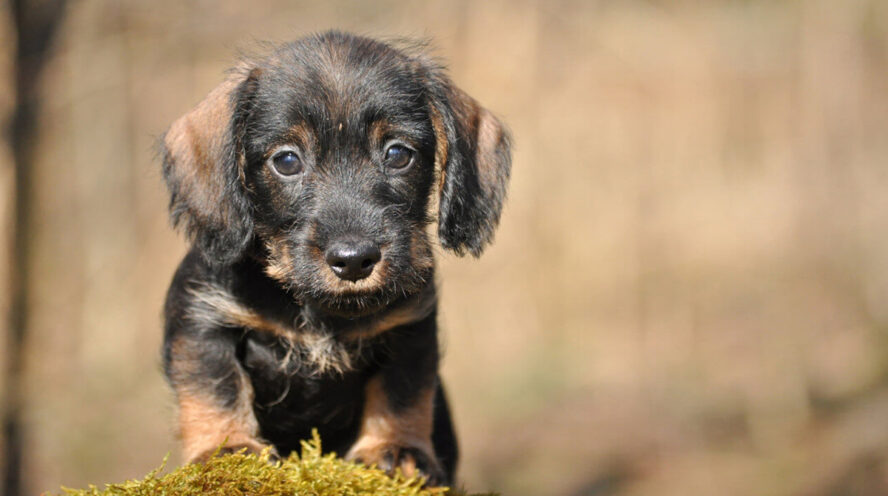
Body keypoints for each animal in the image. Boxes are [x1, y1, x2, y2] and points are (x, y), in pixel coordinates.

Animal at [156, 31, 510, 484]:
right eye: (287, 160)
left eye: (398, 154)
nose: (355, 259)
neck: (316, 308)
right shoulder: (203, 319)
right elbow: (215, 388)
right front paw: (227, 448)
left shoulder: (408, 329)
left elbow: (401, 393)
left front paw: (396, 448)